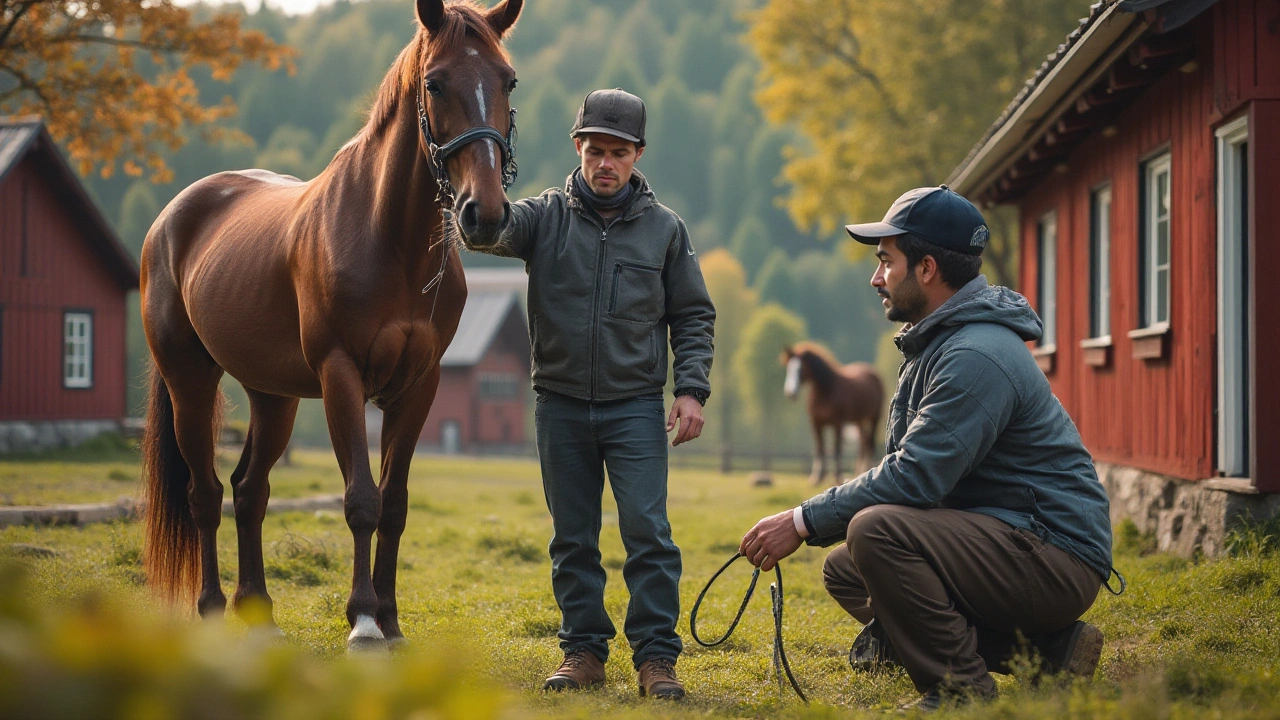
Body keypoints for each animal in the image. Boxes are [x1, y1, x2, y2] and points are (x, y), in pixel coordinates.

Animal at [137, 0, 522, 650]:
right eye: (435, 83)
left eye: (507, 80)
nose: (485, 214)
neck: (391, 241)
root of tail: (171, 216)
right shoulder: (342, 376)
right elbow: (362, 499)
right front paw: (363, 622)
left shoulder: (419, 387)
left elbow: (394, 503)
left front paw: (390, 620)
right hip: (191, 382)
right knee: (205, 495)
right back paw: (212, 609)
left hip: (273, 397)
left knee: (249, 491)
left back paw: (259, 612)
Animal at [783, 340, 885, 481]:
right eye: (788, 368)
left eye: (800, 369)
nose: (790, 393)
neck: (825, 391)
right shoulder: (816, 423)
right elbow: (820, 448)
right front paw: (817, 476)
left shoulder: (838, 423)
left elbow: (836, 449)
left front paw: (838, 475)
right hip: (858, 420)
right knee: (863, 444)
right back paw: (859, 471)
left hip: (875, 417)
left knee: (870, 444)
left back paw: (866, 468)